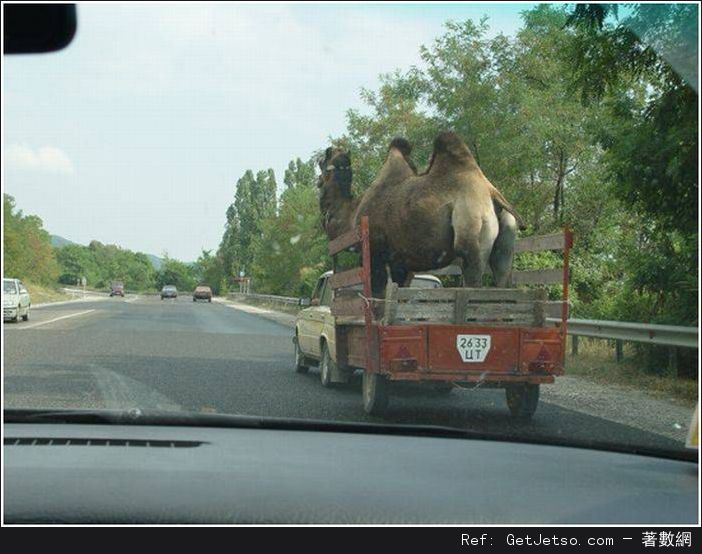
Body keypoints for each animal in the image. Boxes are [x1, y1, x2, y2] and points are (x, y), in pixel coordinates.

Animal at [322, 133, 524, 296]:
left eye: (323, 161)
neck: (352, 214)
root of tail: (491, 193)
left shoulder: (375, 251)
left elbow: (378, 295)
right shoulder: (400, 261)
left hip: (472, 230)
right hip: (506, 241)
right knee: (502, 275)